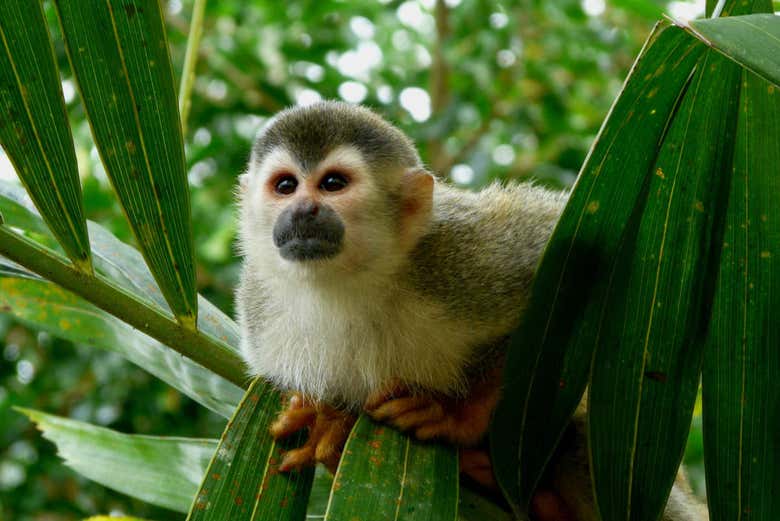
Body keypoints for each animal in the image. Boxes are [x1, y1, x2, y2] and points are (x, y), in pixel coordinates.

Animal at [235, 101, 707, 520]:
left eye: (333, 183)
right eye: (285, 186)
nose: (303, 209)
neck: (351, 280)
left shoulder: (460, 256)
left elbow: (583, 253)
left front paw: (457, 416)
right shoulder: (259, 310)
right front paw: (329, 423)